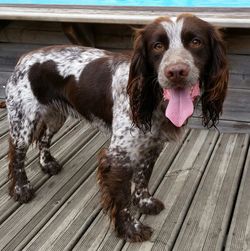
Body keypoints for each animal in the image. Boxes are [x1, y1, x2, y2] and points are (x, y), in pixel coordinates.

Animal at [5, 14, 229, 242]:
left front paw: (145, 202)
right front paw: (131, 229)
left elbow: (143, 178)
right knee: (16, 153)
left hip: (56, 115)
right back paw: (21, 189)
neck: (152, 100)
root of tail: (24, 57)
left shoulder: (151, 146)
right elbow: (122, 199)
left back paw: (47, 163)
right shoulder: (119, 156)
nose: (176, 72)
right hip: (23, 121)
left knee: (44, 138)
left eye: (196, 42)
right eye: (157, 46)